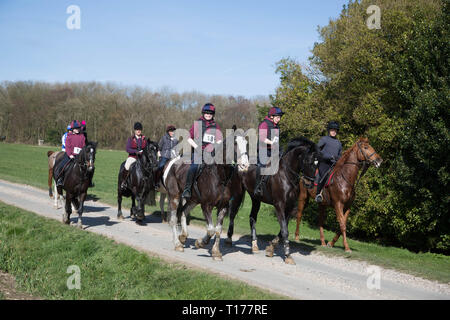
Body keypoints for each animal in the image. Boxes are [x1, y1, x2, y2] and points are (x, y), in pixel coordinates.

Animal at [163, 128, 250, 260]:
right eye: (235, 144)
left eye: (246, 144)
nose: (245, 165)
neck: (219, 175)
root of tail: (172, 163)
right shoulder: (206, 205)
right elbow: (210, 230)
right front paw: (201, 242)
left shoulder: (223, 206)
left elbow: (218, 230)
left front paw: (216, 252)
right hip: (174, 196)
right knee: (173, 219)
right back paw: (178, 244)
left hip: (193, 200)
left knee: (183, 212)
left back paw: (183, 237)